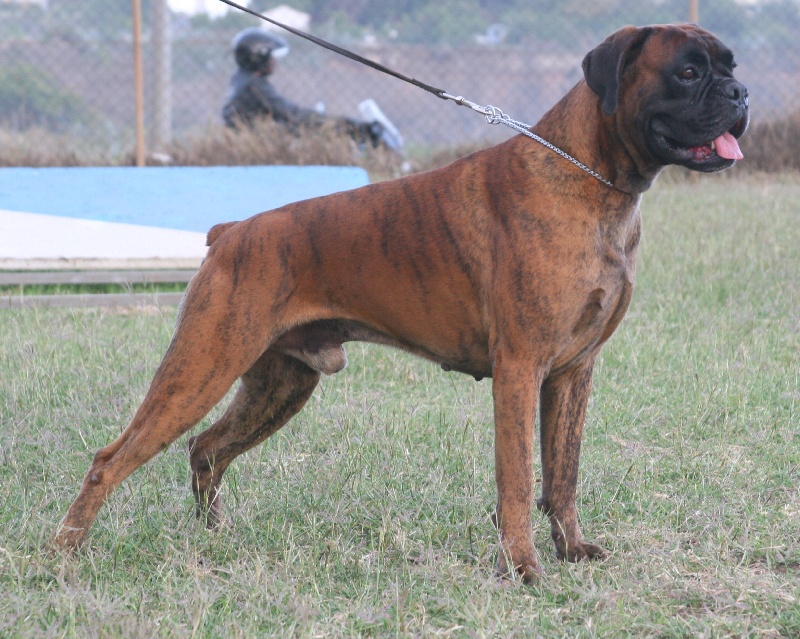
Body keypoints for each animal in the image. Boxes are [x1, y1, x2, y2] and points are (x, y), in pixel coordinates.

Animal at [55, 24, 748, 583]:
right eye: (688, 72)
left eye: (730, 67)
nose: (740, 95)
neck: (591, 177)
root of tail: (230, 233)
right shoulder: (520, 371)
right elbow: (520, 479)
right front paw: (522, 568)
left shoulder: (573, 373)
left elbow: (564, 474)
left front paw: (571, 551)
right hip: (201, 367)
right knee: (110, 459)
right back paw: (64, 554)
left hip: (280, 385)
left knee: (206, 448)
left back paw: (213, 538)